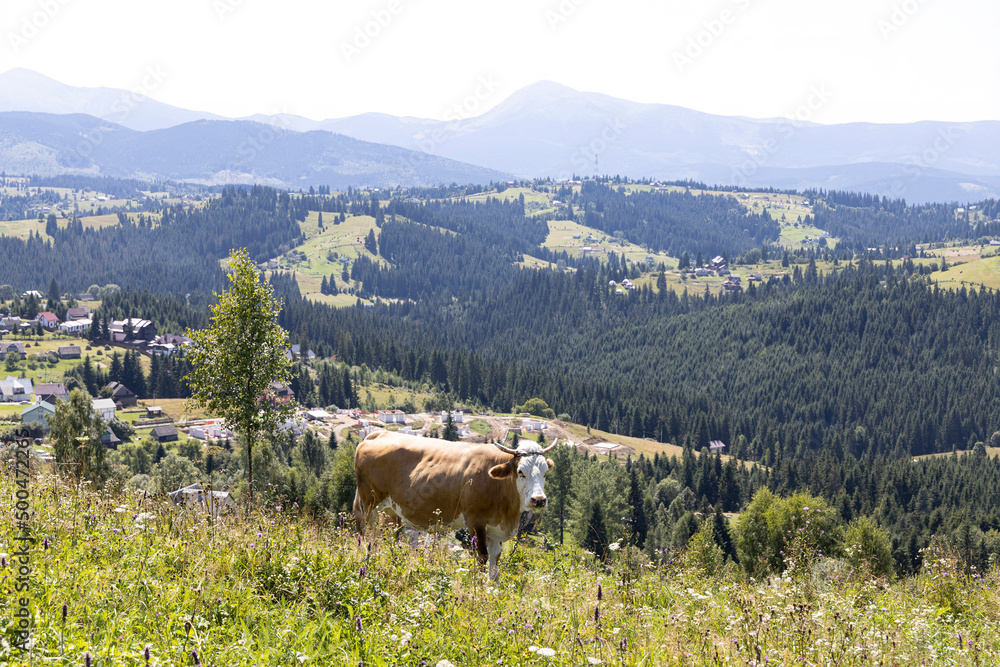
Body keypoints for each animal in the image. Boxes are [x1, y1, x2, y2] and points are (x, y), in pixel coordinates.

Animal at [353, 430, 557, 580]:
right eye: (521, 471)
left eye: (546, 473)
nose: (539, 499)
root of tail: (379, 433)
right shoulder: (475, 521)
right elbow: (482, 557)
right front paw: (479, 590)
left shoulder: (495, 527)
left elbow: (495, 561)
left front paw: (492, 590)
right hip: (371, 505)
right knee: (369, 535)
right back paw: (367, 563)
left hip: (390, 510)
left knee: (389, 537)